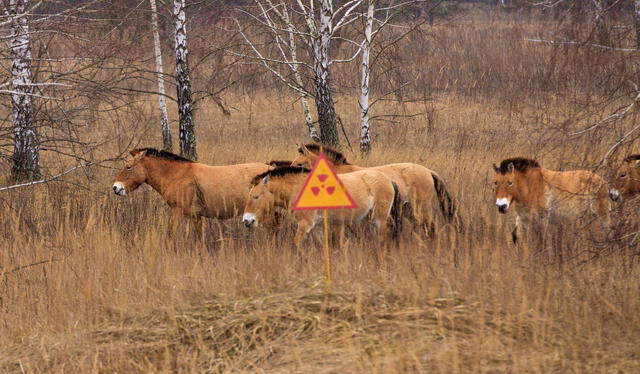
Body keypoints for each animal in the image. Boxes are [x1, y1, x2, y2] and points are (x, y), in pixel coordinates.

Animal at [241, 167, 400, 248]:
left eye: (256, 196)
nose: (247, 220)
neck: (299, 188)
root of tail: (388, 179)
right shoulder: (316, 227)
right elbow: (319, 247)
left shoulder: (305, 225)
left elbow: (296, 245)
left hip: (379, 219)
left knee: (382, 240)